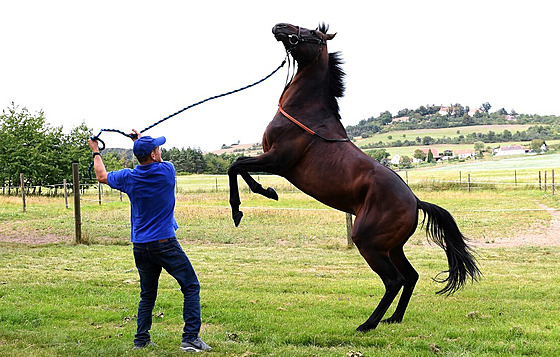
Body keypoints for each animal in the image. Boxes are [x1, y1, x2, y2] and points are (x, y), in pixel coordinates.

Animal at [225, 23, 480, 330]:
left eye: (312, 33)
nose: (280, 27)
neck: (306, 114)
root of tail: (415, 201)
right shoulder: (272, 160)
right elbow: (239, 167)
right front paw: (263, 193)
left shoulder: (278, 160)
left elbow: (236, 166)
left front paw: (247, 205)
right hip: (391, 246)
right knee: (411, 276)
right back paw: (393, 318)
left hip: (369, 243)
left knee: (394, 280)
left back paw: (368, 324)